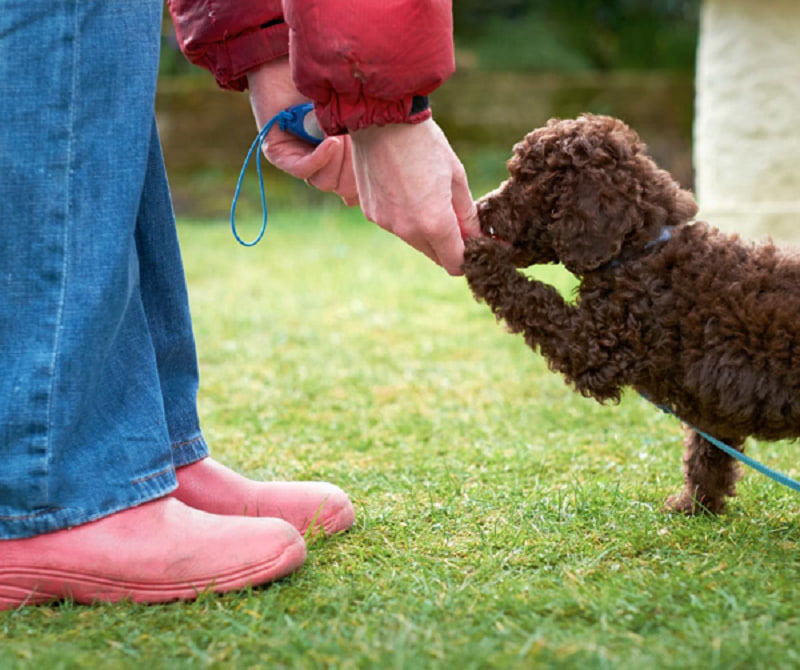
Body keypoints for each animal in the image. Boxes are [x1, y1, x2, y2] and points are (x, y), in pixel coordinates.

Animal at [462, 114, 800, 516]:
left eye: (528, 181)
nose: (480, 207)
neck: (640, 250)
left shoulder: (598, 346)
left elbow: (536, 300)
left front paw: (482, 257)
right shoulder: (715, 402)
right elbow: (706, 454)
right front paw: (694, 505)